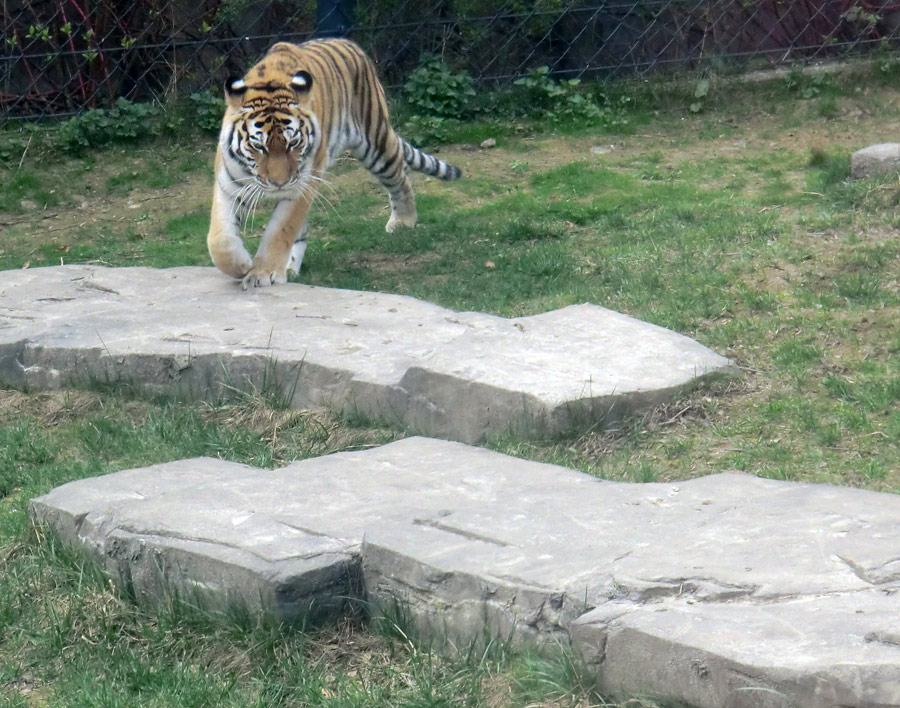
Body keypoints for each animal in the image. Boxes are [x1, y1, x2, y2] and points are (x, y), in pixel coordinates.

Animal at [207, 37, 460, 288]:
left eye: (293, 143)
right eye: (258, 146)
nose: (280, 183)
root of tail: (348, 42)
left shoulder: (301, 185)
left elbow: (280, 231)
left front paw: (262, 272)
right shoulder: (228, 185)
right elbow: (220, 239)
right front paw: (243, 266)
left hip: (374, 141)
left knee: (400, 173)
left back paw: (403, 221)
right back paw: (290, 267)